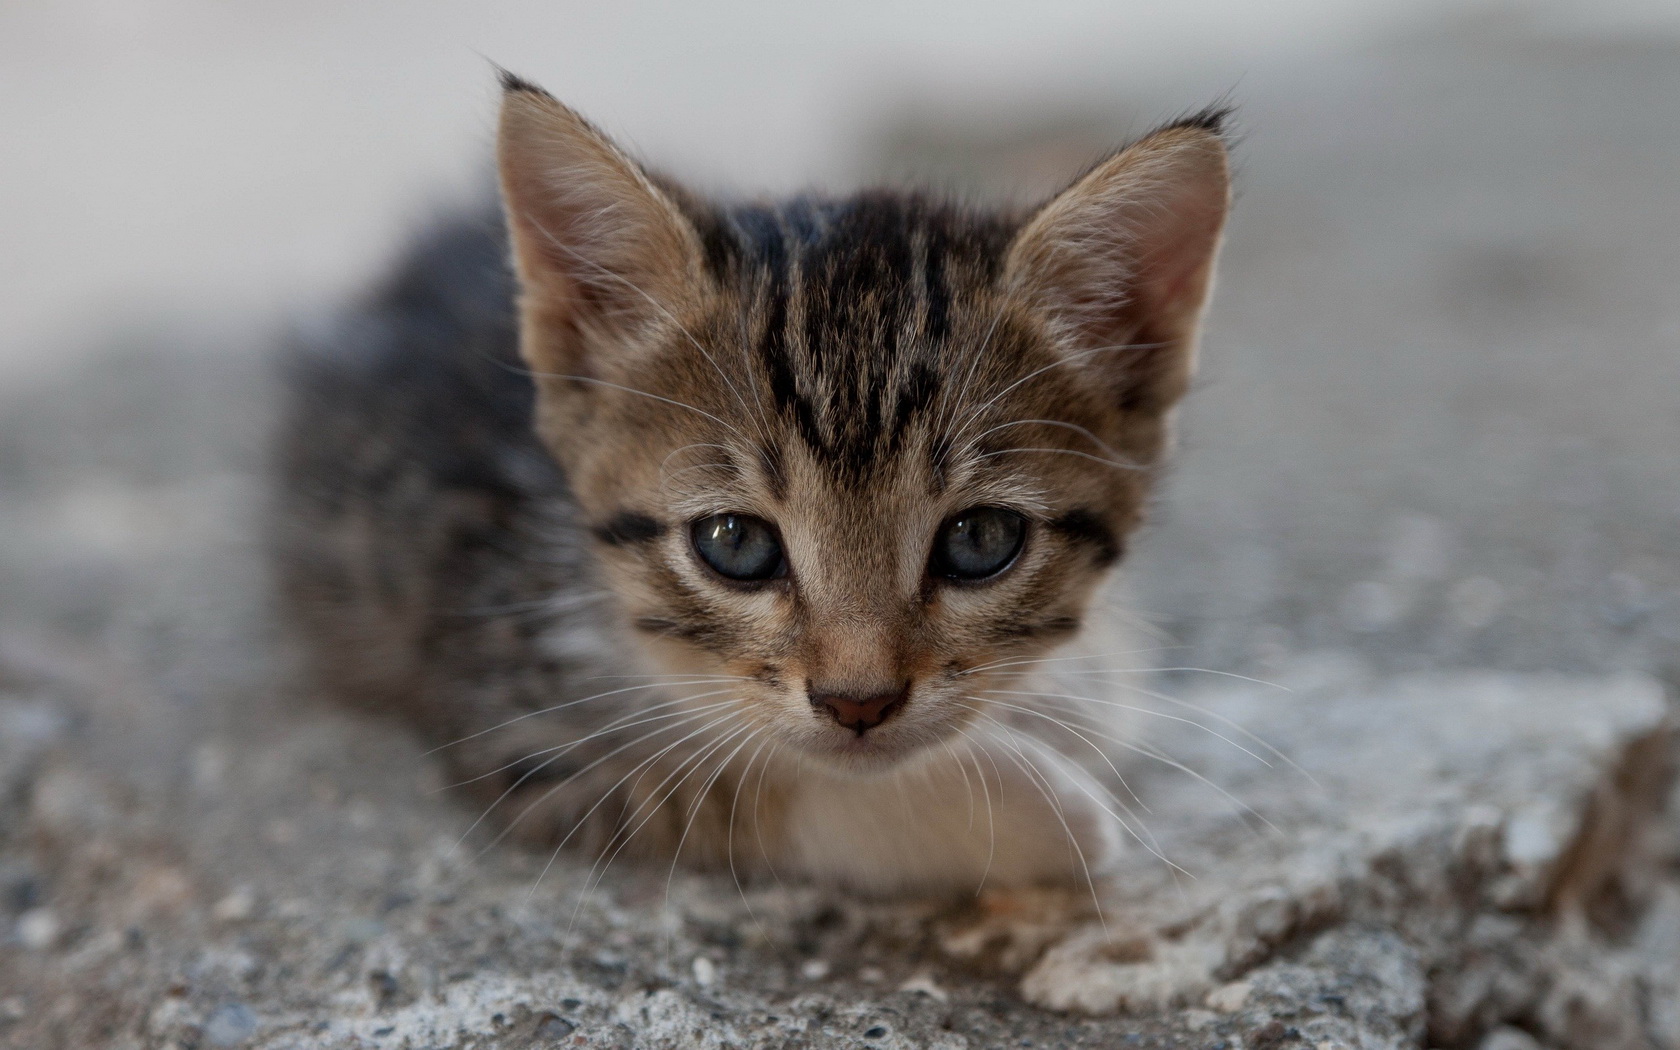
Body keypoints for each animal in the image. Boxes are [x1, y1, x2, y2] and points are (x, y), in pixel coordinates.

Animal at [268, 73, 1229, 893]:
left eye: (980, 541)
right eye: (735, 545)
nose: (858, 703)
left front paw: (1064, 699)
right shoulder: (516, 714)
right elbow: (755, 788)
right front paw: (1032, 810)